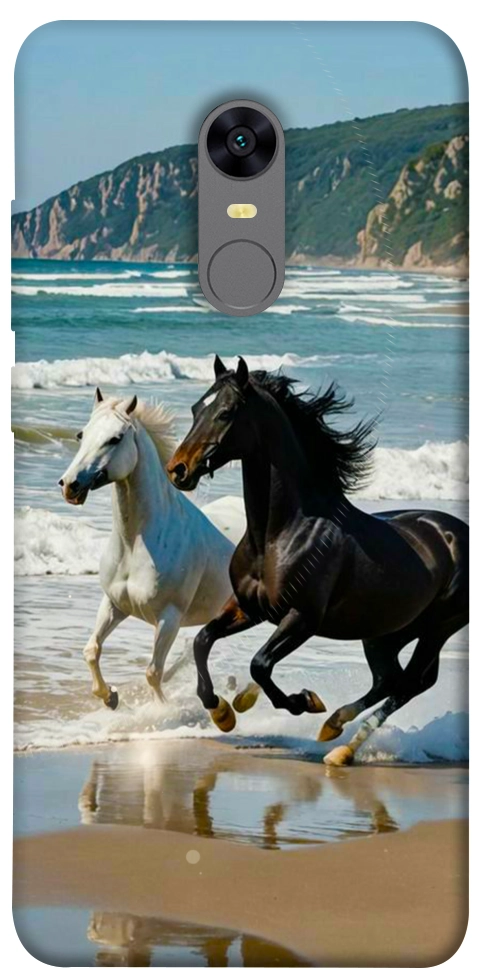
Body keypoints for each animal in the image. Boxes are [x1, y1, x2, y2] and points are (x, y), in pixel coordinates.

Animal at [59, 388, 234, 709]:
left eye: (115, 438)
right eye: (81, 434)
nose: (70, 485)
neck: (135, 544)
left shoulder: (169, 618)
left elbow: (153, 672)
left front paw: (161, 711)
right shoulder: (114, 604)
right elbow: (92, 650)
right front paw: (110, 697)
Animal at [166, 356, 468, 765]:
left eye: (226, 412)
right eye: (197, 408)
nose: (178, 469)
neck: (280, 534)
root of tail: (458, 532)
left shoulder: (302, 618)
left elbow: (260, 664)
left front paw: (303, 701)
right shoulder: (249, 608)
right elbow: (202, 640)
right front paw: (223, 712)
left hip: (438, 628)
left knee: (410, 683)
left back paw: (340, 746)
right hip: (386, 632)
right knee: (390, 679)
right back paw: (334, 729)